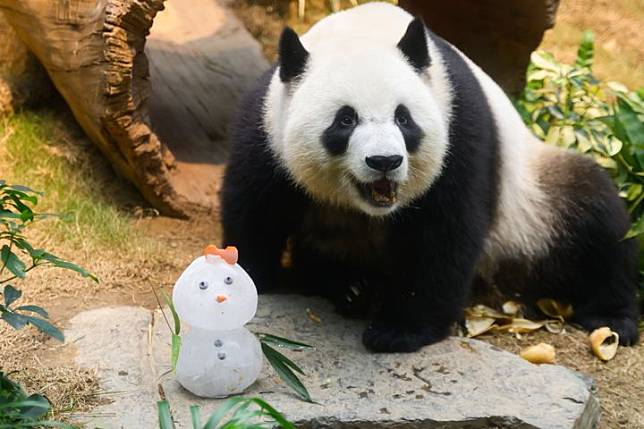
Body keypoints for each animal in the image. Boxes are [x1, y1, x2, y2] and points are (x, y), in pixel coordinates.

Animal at [221, 2, 640, 352]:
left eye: (403, 118)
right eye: (345, 119)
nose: (385, 161)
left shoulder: (458, 128)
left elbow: (444, 235)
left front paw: (399, 331)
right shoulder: (267, 128)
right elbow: (253, 205)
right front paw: (248, 280)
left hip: (533, 202)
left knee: (594, 218)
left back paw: (612, 318)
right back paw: (351, 288)